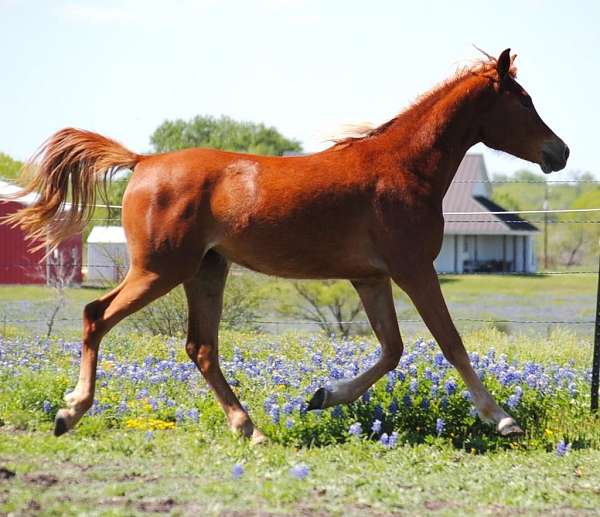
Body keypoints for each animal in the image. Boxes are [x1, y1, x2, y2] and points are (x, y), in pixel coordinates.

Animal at [5, 50, 568, 442]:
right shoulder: (414, 269)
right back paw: (70, 411)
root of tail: (143, 162)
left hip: (205, 271)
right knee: (97, 315)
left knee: (200, 347)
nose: (559, 151)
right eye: (523, 101)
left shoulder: (370, 278)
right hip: (159, 270)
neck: (402, 168)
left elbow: (392, 349)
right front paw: (503, 420)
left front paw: (323, 395)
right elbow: (449, 343)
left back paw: (249, 429)